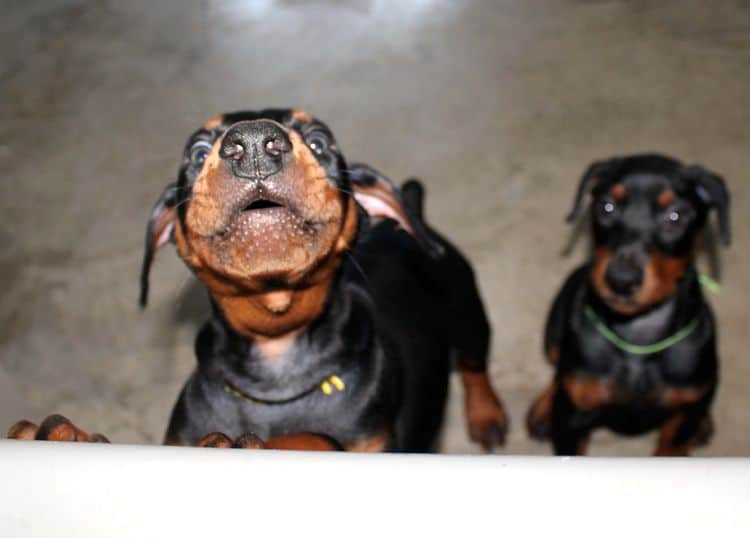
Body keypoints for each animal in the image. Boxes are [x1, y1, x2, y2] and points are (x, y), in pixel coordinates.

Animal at [8, 108, 508, 448]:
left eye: (319, 140)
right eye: (198, 151)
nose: (251, 145)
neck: (277, 356)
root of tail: (411, 205)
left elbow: (314, 439)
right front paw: (60, 434)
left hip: (464, 304)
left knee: (474, 362)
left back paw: (486, 416)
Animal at [524, 153, 732, 454]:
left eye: (676, 216)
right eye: (606, 207)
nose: (621, 280)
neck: (638, 337)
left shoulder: (681, 421)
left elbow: (673, 442)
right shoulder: (572, 420)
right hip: (554, 329)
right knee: (558, 368)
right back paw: (543, 410)